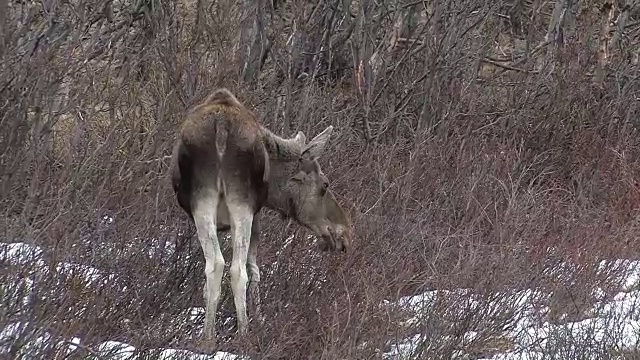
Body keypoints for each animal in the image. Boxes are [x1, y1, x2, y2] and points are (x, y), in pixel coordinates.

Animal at [168, 88, 352, 348]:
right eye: (325, 185)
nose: (344, 232)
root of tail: (221, 126)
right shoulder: (255, 214)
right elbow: (254, 269)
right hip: (234, 204)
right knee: (233, 268)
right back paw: (237, 336)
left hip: (209, 203)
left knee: (219, 265)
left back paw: (214, 338)